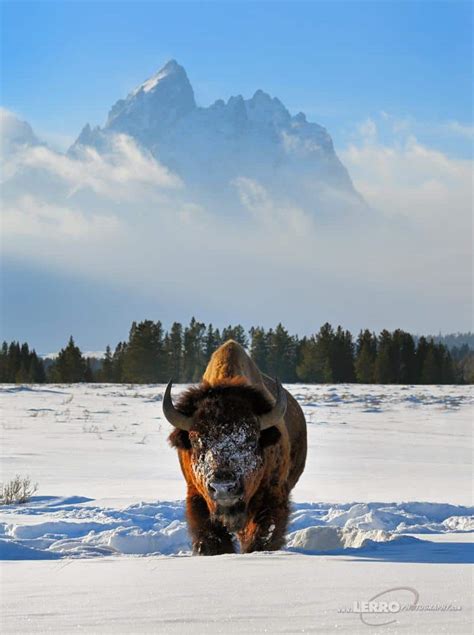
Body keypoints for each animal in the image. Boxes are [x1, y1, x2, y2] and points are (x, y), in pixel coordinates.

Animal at [163, 340, 308, 556]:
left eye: (251, 438)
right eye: (196, 440)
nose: (223, 488)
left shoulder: (272, 497)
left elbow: (262, 535)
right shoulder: (197, 497)